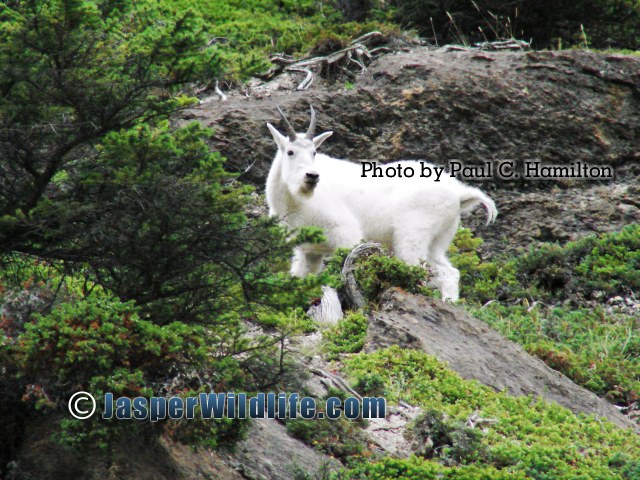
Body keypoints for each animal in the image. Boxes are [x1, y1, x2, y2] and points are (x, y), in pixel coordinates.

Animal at [264, 106, 496, 300]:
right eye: (290, 151)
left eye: (314, 152)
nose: (312, 176)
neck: (294, 202)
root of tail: (459, 194)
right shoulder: (308, 252)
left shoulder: (345, 232)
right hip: (438, 240)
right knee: (450, 273)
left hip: (413, 233)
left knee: (421, 269)